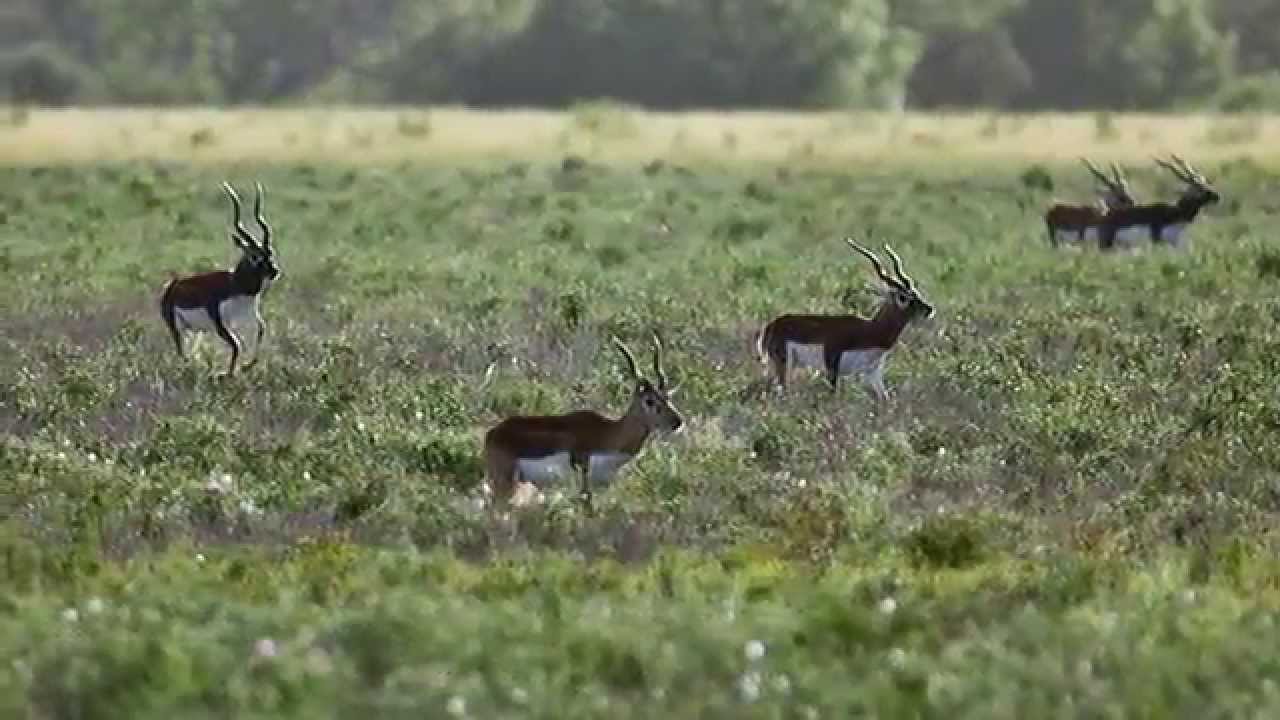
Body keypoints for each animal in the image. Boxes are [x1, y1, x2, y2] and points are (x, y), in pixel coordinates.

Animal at [159, 182, 280, 377]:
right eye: (254, 256)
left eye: (270, 253)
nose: (275, 271)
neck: (236, 286)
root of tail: (171, 287)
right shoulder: (219, 323)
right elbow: (237, 345)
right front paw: (230, 374)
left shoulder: (249, 315)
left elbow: (262, 329)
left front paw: (247, 365)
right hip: (178, 329)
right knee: (182, 353)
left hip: (196, 332)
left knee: (190, 352)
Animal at [483, 333, 683, 511]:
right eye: (649, 401)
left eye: (667, 397)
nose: (678, 422)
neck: (609, 433)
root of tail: (492, 433)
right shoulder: (584, 479)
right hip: (504, 483)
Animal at [755, 237, 934, 401]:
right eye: (903, 297)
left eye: (916, 292)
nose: (929, 309)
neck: (871, 330)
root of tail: (772, 325)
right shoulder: (832, 364)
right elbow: (833, 395)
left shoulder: (873, 372)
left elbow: (885, 399)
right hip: (784, 364)